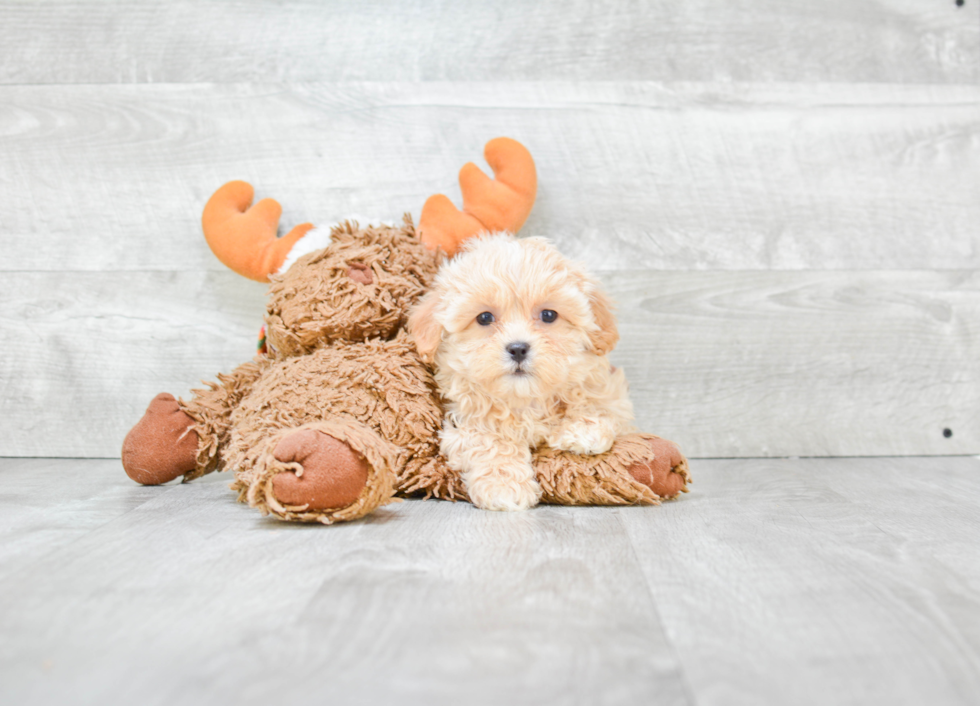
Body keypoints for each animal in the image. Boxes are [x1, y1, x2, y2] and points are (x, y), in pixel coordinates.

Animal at [408, 234, 632, 508]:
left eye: (548, 315)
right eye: (484, 318)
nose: (517, 349)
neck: (526, 399)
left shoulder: (610, 392)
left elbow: (600, 405)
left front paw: (584, 429)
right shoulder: (465, 423)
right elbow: (490, 441)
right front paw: (503, 486)